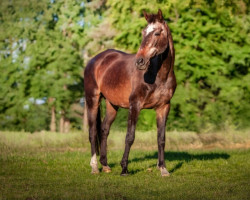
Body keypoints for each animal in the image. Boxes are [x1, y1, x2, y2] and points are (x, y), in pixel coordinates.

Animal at [83, 9, 176, 176]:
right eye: (143, 32)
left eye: (157, 33)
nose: (140, 61)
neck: (159, 75)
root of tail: (94, 60)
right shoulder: (135, 105)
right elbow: (130, 137)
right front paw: (124, 168)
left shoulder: (164, 107)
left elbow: (161, 138)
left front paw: (163, 168)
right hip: (92, 99)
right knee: (92, 132)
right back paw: (94, 167)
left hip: (112, 105)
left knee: (104, 130)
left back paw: (105, 165)